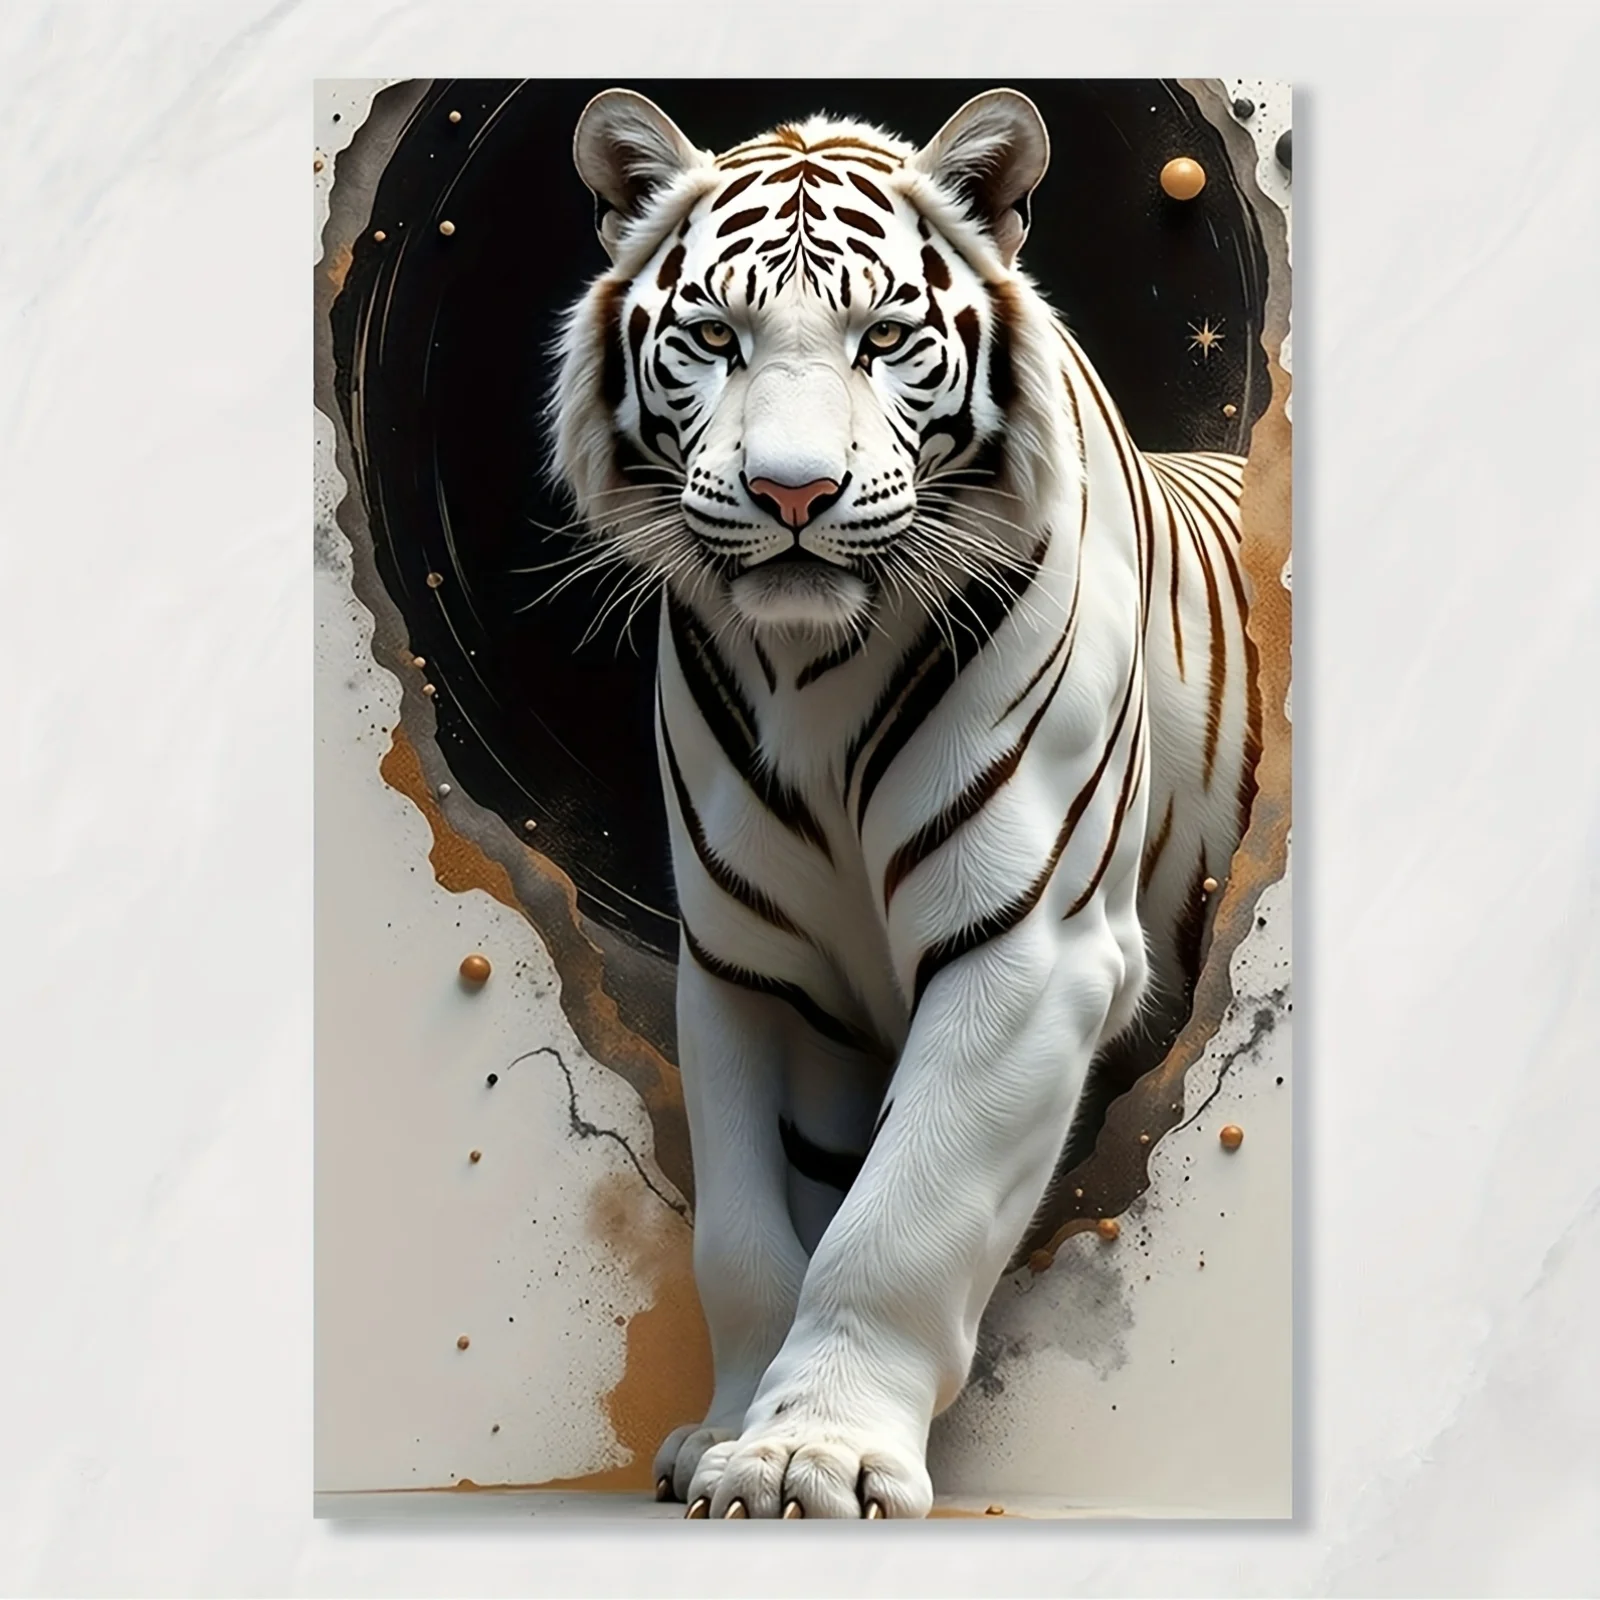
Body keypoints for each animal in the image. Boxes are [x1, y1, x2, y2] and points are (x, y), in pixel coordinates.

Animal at [549, 86, 1261, 1519]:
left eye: (883, 337)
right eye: (714, 336)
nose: (792, 492)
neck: (808, 669)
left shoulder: (1031, 945)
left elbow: (897, 1213)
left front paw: (811, 1452)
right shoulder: (744, 966)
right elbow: (746, 1235)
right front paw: (728, 1434)